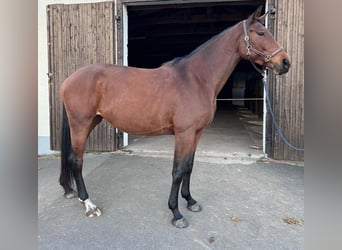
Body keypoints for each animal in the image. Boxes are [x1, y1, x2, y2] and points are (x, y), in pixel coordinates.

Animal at [60, 5, 290, 229]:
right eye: (261, 33)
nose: (285, 62)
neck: (196, 79)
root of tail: (69, 79)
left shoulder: (196, 133)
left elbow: (189, 166)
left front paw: (190, 201)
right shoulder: (184, 133)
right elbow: (178, 170)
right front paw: (176, 213)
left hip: (91, 122)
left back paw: (74, 193)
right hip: (80, 125)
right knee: (76, 160)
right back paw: (89, 204)